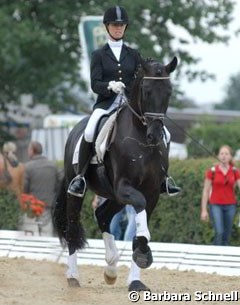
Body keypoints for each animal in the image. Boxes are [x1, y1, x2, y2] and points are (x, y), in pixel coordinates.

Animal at [53, 56, 177, 288]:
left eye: (169, 91)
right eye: (146, 90)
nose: (155, 136)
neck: (141, 140)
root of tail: (75, 128)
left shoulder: (150, 193)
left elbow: (139, 232)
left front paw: (135, 280)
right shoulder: (125, 187)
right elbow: (141, 226)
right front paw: (144, 254)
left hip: (114, 196)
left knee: (102, 215)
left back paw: (111, 267)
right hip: (79, 190)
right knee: (72, 226)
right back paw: (73, 276)